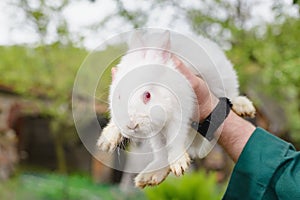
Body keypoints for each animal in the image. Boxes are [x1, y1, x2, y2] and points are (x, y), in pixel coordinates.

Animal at [96, 29, 255, 188]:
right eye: (118, 96)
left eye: (147, 95)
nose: (131, 125)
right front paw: (106, 140)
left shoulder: (180, 111)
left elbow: (175, 138)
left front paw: (179, 163)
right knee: (160, 155)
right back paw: (150, 175)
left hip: (226, 80)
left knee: (232, 95)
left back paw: (244, 106)